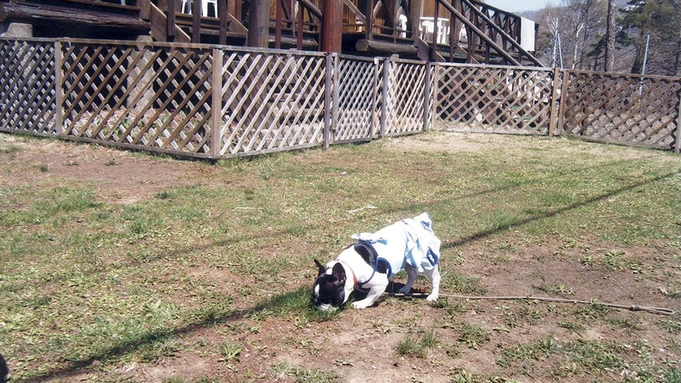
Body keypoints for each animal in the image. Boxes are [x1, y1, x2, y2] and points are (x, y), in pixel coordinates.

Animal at [312, 213, 440, 312]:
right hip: (408, 260)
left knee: (435, 278)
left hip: (427, 261)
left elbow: (371, 296)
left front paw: (360, 303)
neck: (349, 267)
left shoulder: (380, 283)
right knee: (412, 275)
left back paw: (433, 295)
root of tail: (420, 222)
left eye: (327, 299)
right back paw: (405, 289)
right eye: (313, 298)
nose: (317, 306)